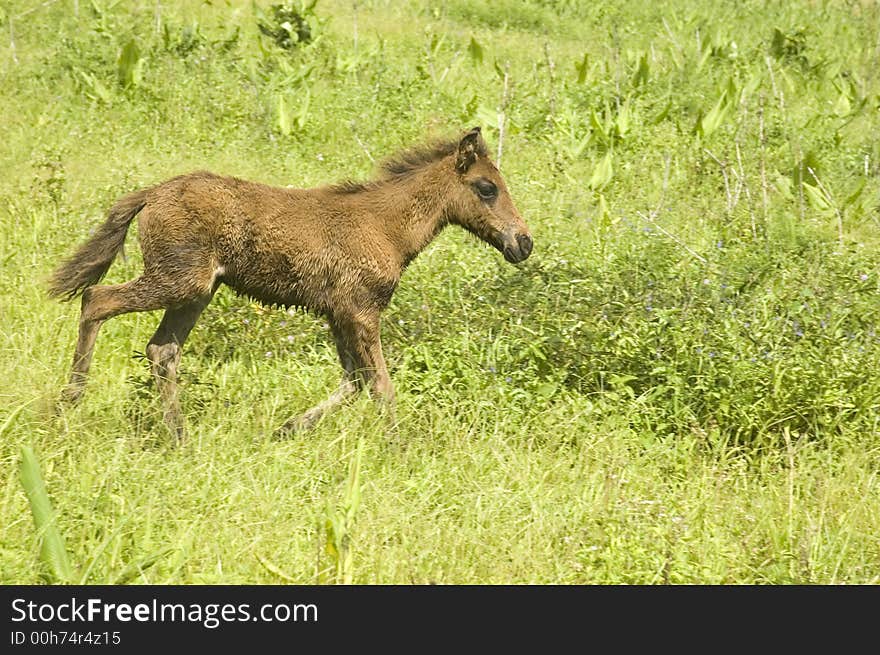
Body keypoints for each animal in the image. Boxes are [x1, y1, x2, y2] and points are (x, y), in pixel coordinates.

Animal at [48, 125, 532, 438]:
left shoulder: (339, 314)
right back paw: (70, 403)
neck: (388, 228)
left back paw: (178, 434)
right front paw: (399, 448)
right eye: (487, 188)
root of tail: (150, 195)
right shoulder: (362, 311)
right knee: (96, 298)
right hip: (177, 281)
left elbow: (355, 381)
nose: (523, 243)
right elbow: (383, 387)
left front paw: (286, 429)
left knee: (161, 349)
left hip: (196, 291)